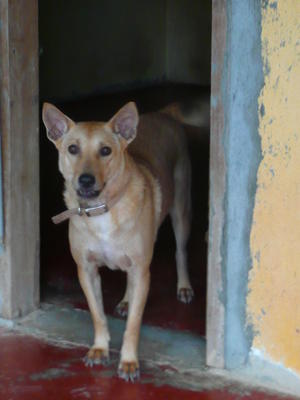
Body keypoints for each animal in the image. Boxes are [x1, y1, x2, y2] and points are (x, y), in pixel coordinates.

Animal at [42, 99, 206, 382]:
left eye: (105, 150)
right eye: (72, 149)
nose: (86, 179)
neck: (102, 209)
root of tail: (163, 114)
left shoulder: (142, 270)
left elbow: (133, 324)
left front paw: (129, 361)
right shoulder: (86, 270)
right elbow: (97, 315)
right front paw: (99, 348)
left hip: (181, 211)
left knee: (181, 252)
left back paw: (184, 286)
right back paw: (127, 300)